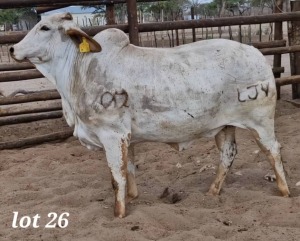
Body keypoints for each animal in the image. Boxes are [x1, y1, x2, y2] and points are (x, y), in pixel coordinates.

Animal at [10, 12, 290, 217]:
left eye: (45, 28)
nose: (12, 49)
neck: (81, 69)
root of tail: (256, 53)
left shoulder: (112, 134)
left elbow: (117, 177)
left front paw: (119, 213)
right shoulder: (126, 138)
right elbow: (129, 169)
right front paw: (133, 197)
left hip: (261, 122)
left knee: (273, 151)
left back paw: (284, 191)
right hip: (224, 126)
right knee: (228, 154)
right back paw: (212, 192)